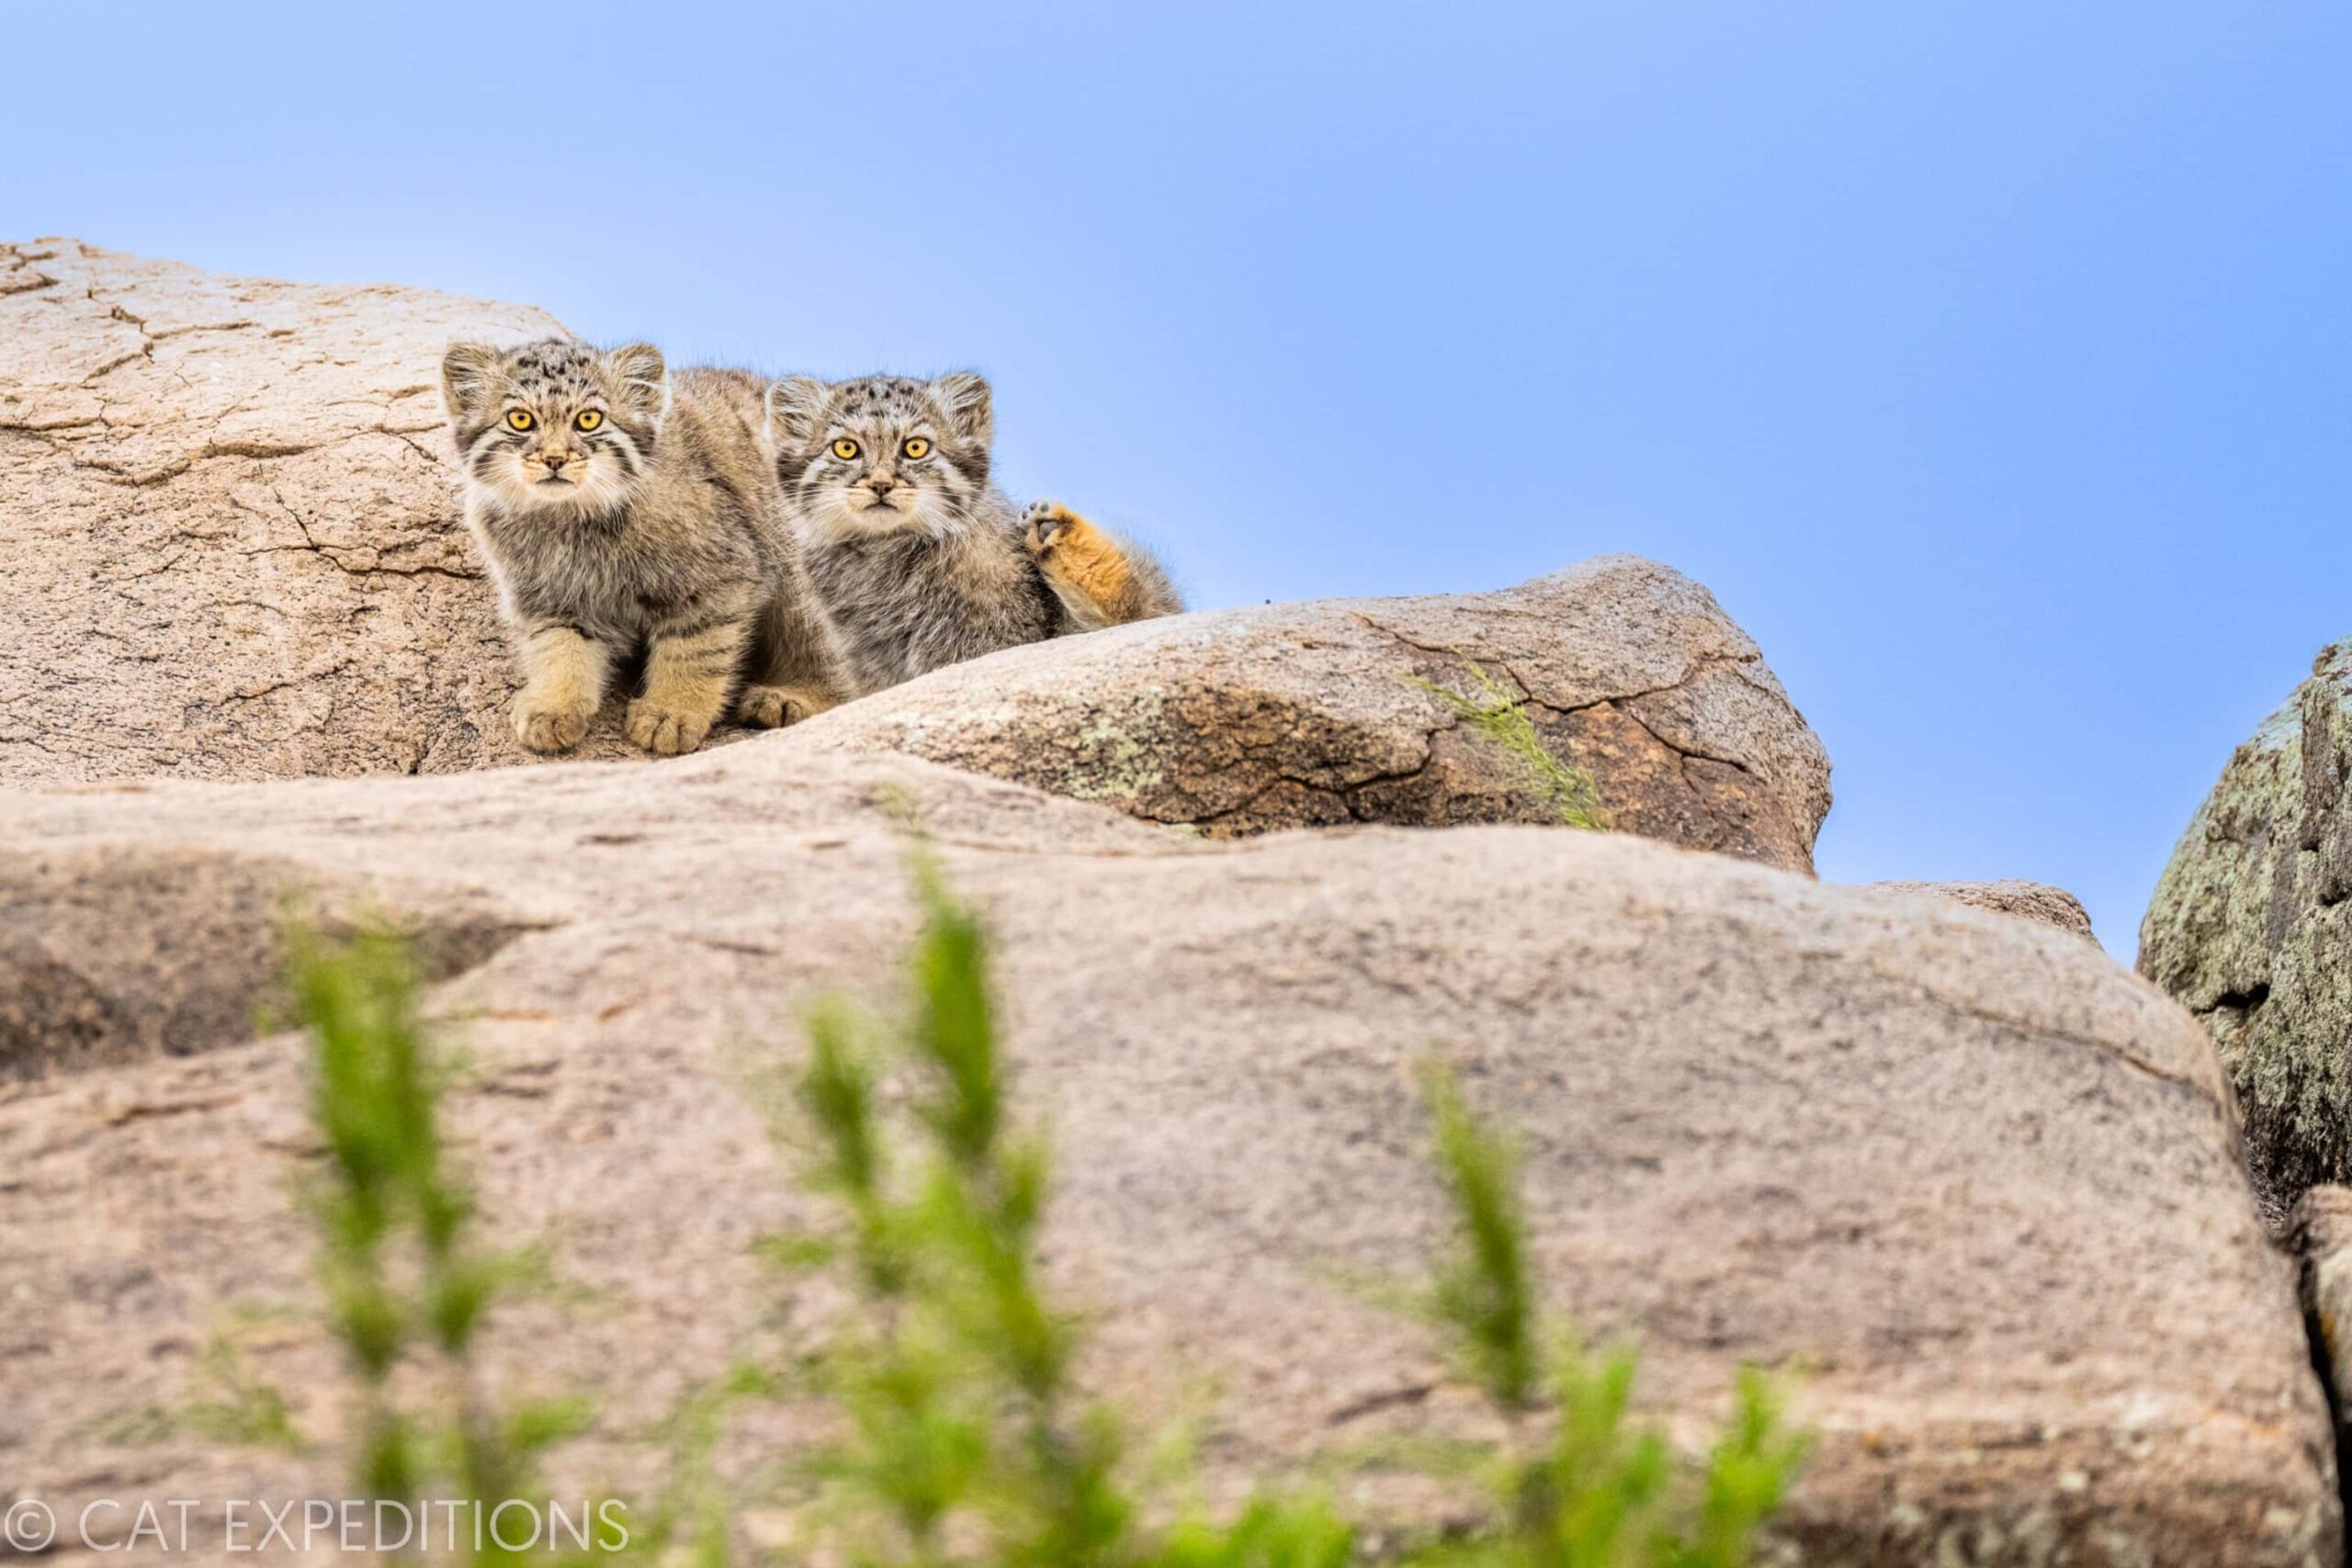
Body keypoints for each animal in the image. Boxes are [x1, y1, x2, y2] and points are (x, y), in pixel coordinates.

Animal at [766, 371, 1176, 695]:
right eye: (846, 448)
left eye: (916, 447)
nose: (881, 485)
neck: (885, 551)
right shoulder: (866, 658)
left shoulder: (996, 631)